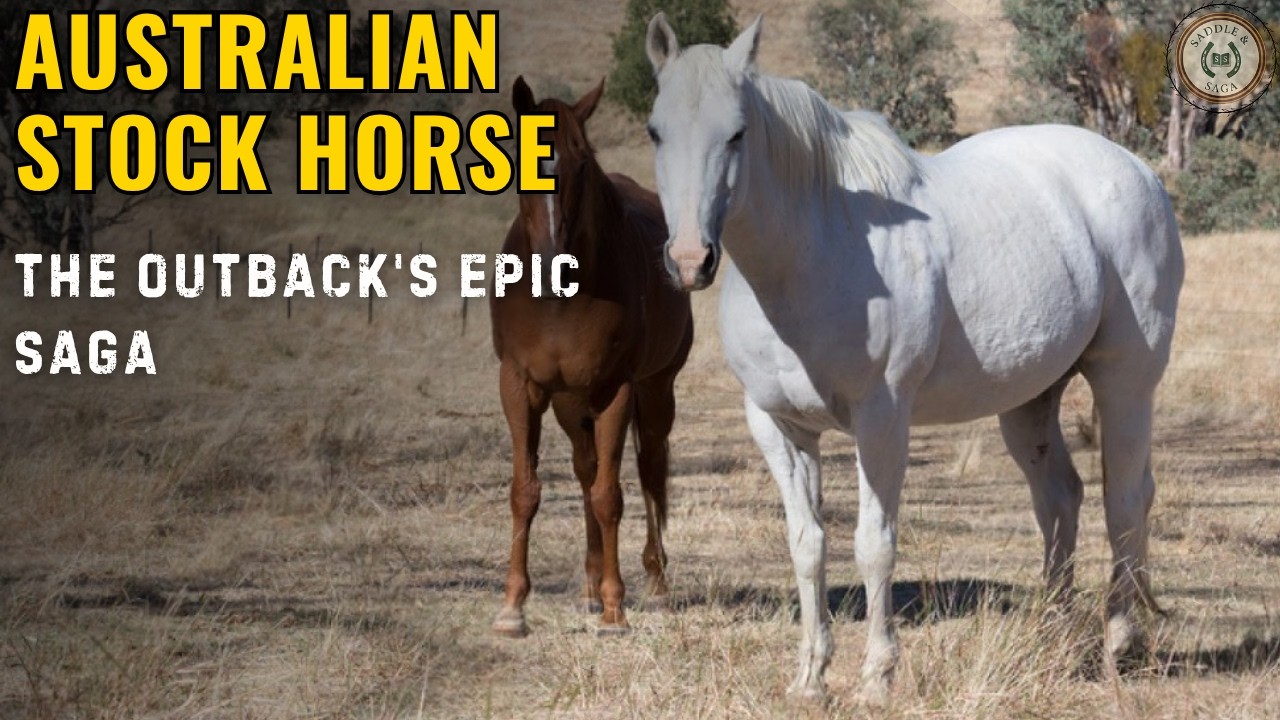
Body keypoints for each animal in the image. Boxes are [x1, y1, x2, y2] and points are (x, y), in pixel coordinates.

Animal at [489, 76, 694, 637]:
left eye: (582, 162)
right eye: (516, 156)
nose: (550, 257)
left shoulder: (614, 390)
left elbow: (610, 496)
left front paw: (614, 610)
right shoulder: (519, 386)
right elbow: (526, 491)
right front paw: (512, 607)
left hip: (653, 391)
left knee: (647, 471)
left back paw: (655, 587)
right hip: (568, 403)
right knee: (585, 470)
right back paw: (587, 585)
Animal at [643, 13, 1183, 703]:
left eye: (736, 133)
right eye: (656, 131)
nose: (690, 261)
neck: (814, 251)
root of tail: (1138, 171)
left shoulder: (881, 419)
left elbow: (873, 544)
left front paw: (877, 677)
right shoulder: (778, 427)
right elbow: (807, 544)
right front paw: (810, 677)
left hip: (1126, 382)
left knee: (1126, 497)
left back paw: (1123, 639)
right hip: (1030, 398)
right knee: (1060, 498)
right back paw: (1053, 639)